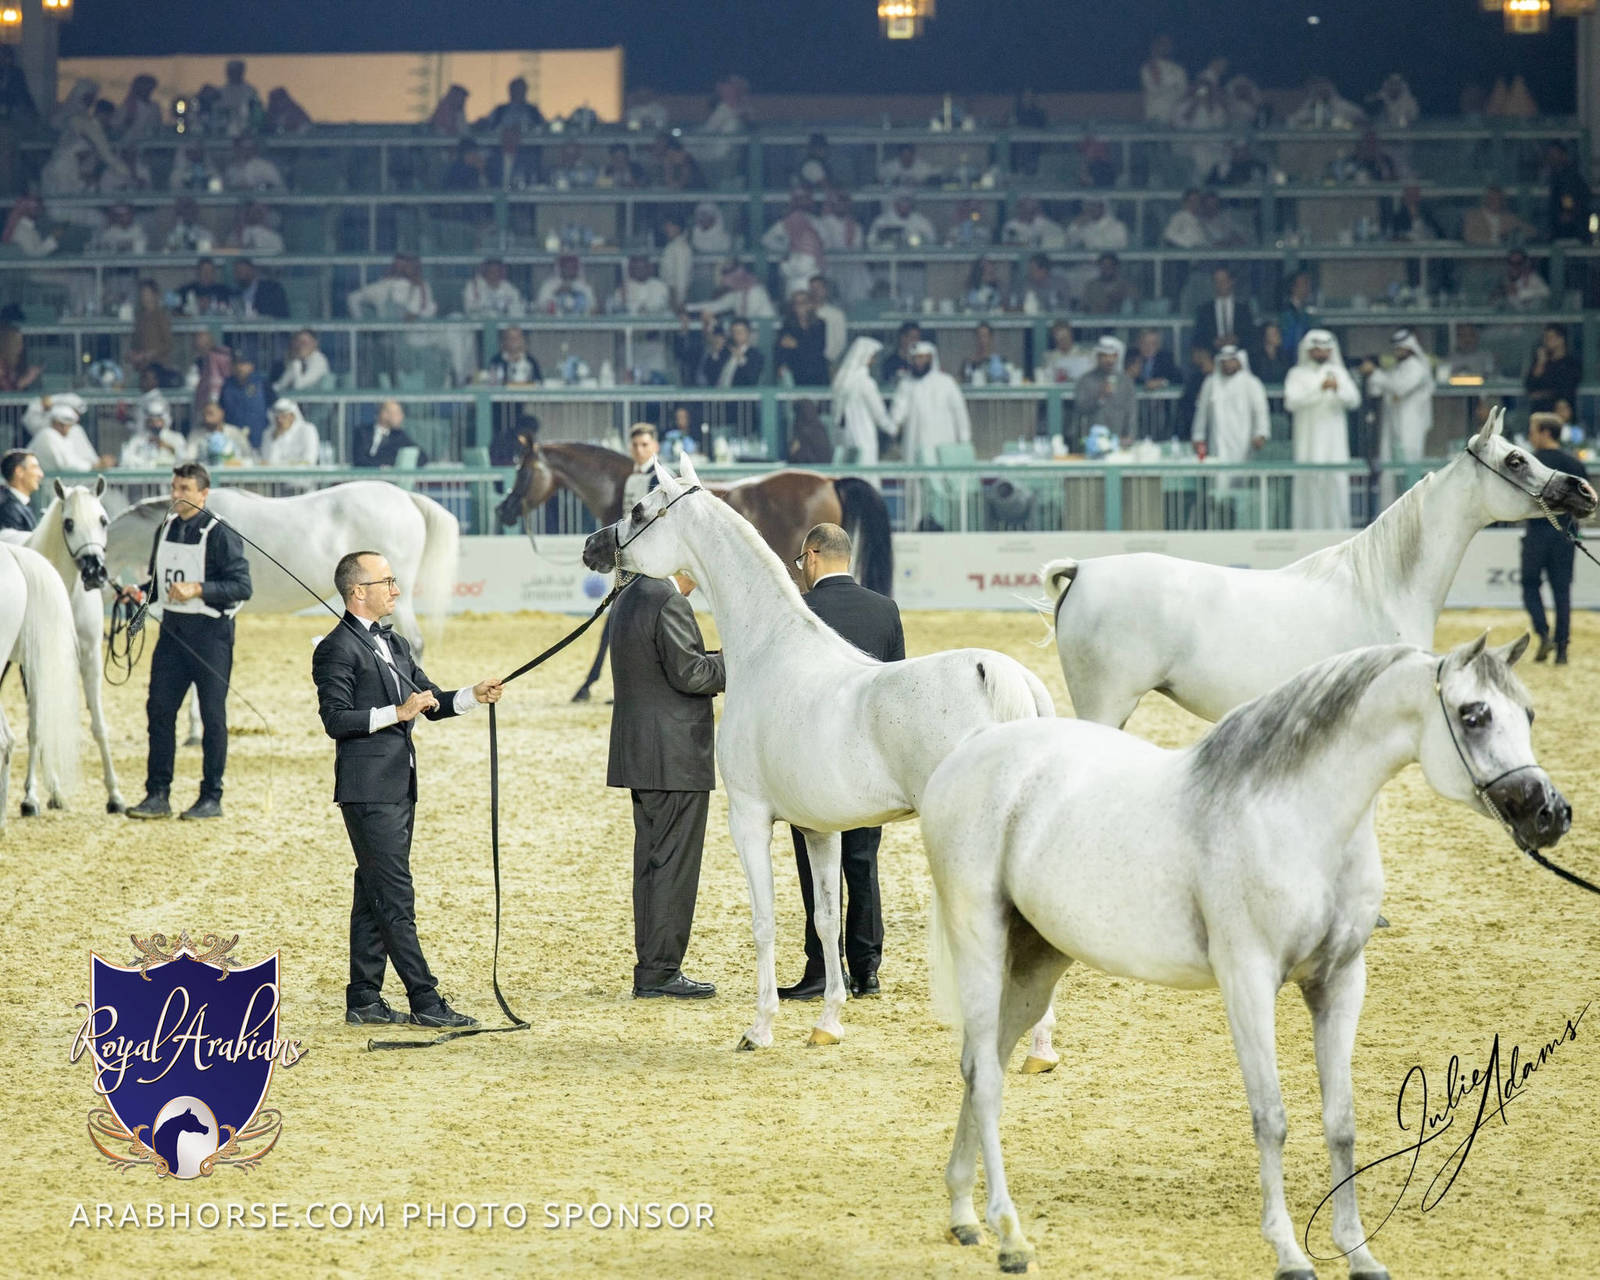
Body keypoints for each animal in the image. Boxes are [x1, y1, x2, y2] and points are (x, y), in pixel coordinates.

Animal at [20, 480, 123, 814]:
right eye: (68, 523)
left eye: (103, 519)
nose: (95, 572)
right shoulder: (36, 661)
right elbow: (37, 727)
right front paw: (30, 797)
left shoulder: (89, 658)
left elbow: (99, 726)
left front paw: (115, 795)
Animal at [581, 451, 1057, 1054]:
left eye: (640, 509)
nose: (592, 546)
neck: (770, 649)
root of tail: (1008, 678)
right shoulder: (819, 828)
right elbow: (828, 918)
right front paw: (828, 1020)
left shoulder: (749, 819)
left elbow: (765, 921)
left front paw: (759, 1028)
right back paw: (1041, 1049)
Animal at [920, 634, 1567, 1276]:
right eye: (1474, 715)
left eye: (1529, 713)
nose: (1551, 813)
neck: (1298, 822)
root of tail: (970, 753)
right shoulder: (1249, 982)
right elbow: (1270, 1118)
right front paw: (1288, 1252)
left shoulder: (1340, 983)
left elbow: (1342, 1123)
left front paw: (1358, 1252)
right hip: (981, 941)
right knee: (985, 1080)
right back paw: (1009, 1236)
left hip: (1036, 964)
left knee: (984, 1064)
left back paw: (963, 1215)